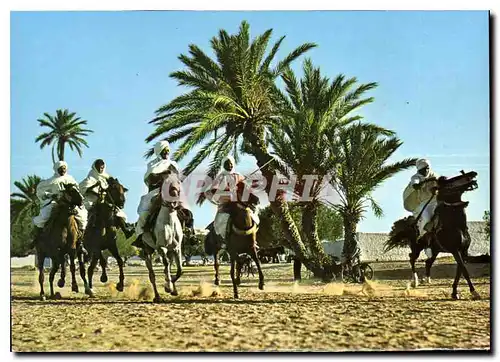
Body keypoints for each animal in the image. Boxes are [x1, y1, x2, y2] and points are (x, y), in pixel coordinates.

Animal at [140, 174, 185, 302]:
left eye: (178, 182)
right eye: (165, 182)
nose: (174, 195)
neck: (169, 222)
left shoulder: (177, 248)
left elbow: (179, 270)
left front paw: (171, 287)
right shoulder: (161, 247)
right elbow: (166, 264)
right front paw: (168, 286)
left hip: (170, 251)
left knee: (168, 267)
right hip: (147, 251)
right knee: (152, 275)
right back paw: (157, 296)